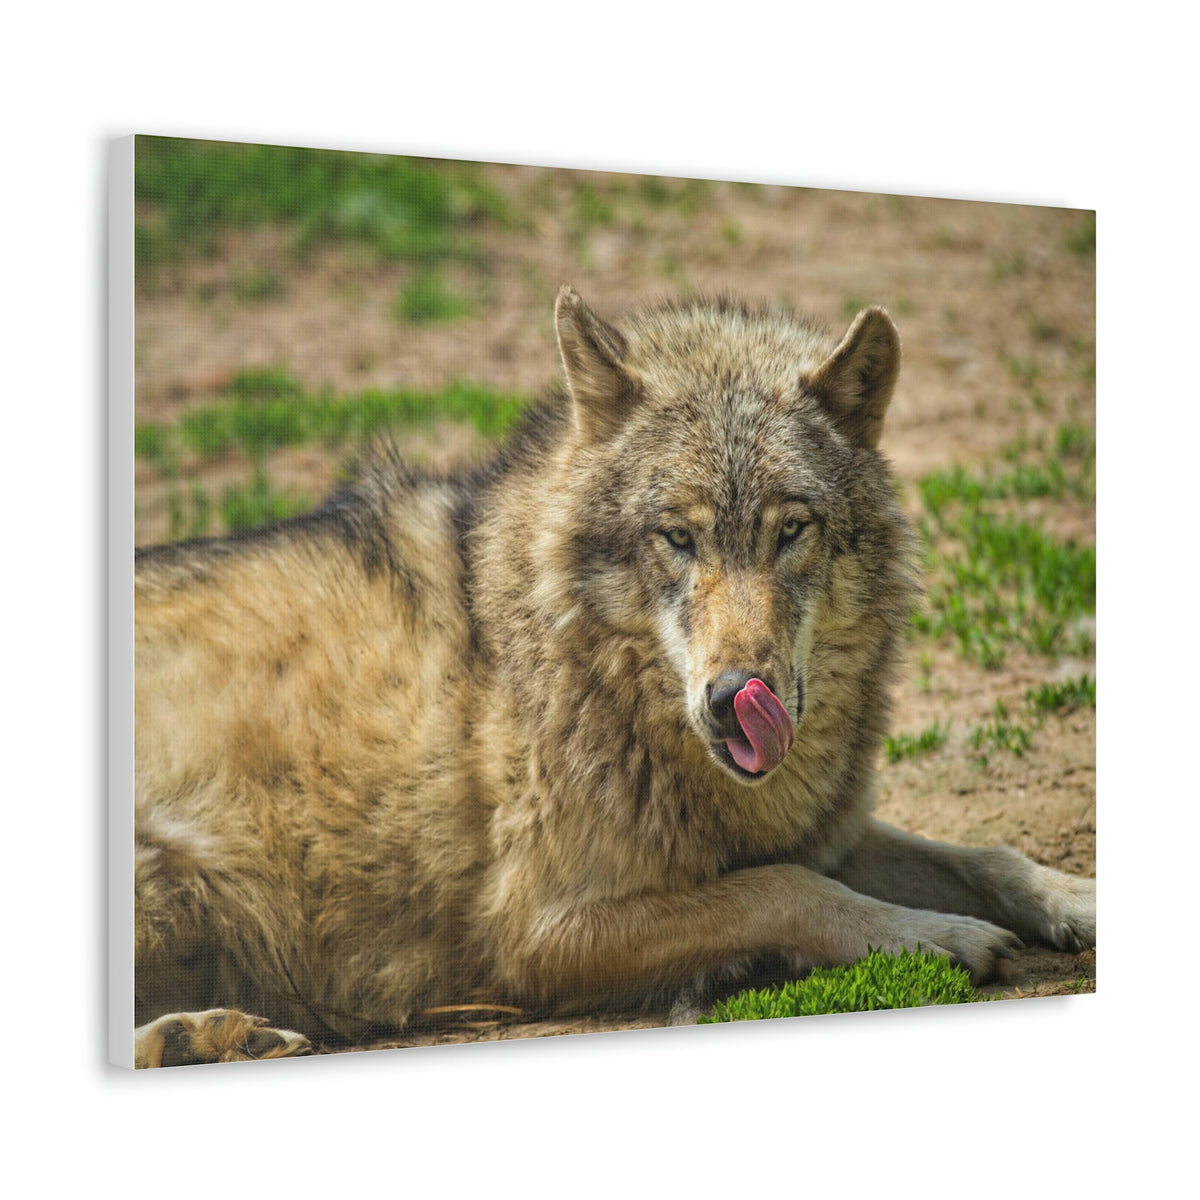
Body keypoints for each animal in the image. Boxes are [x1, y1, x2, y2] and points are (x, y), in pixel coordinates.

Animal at [131, 286, 1095, 1066]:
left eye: (792, 530)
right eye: (678, 536)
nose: (734, 700)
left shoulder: (823, 829)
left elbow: (985, 855)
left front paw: (1073, 900)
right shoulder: (538, 932)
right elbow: (788, 889)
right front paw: (935, 937)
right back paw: (199, 1038)